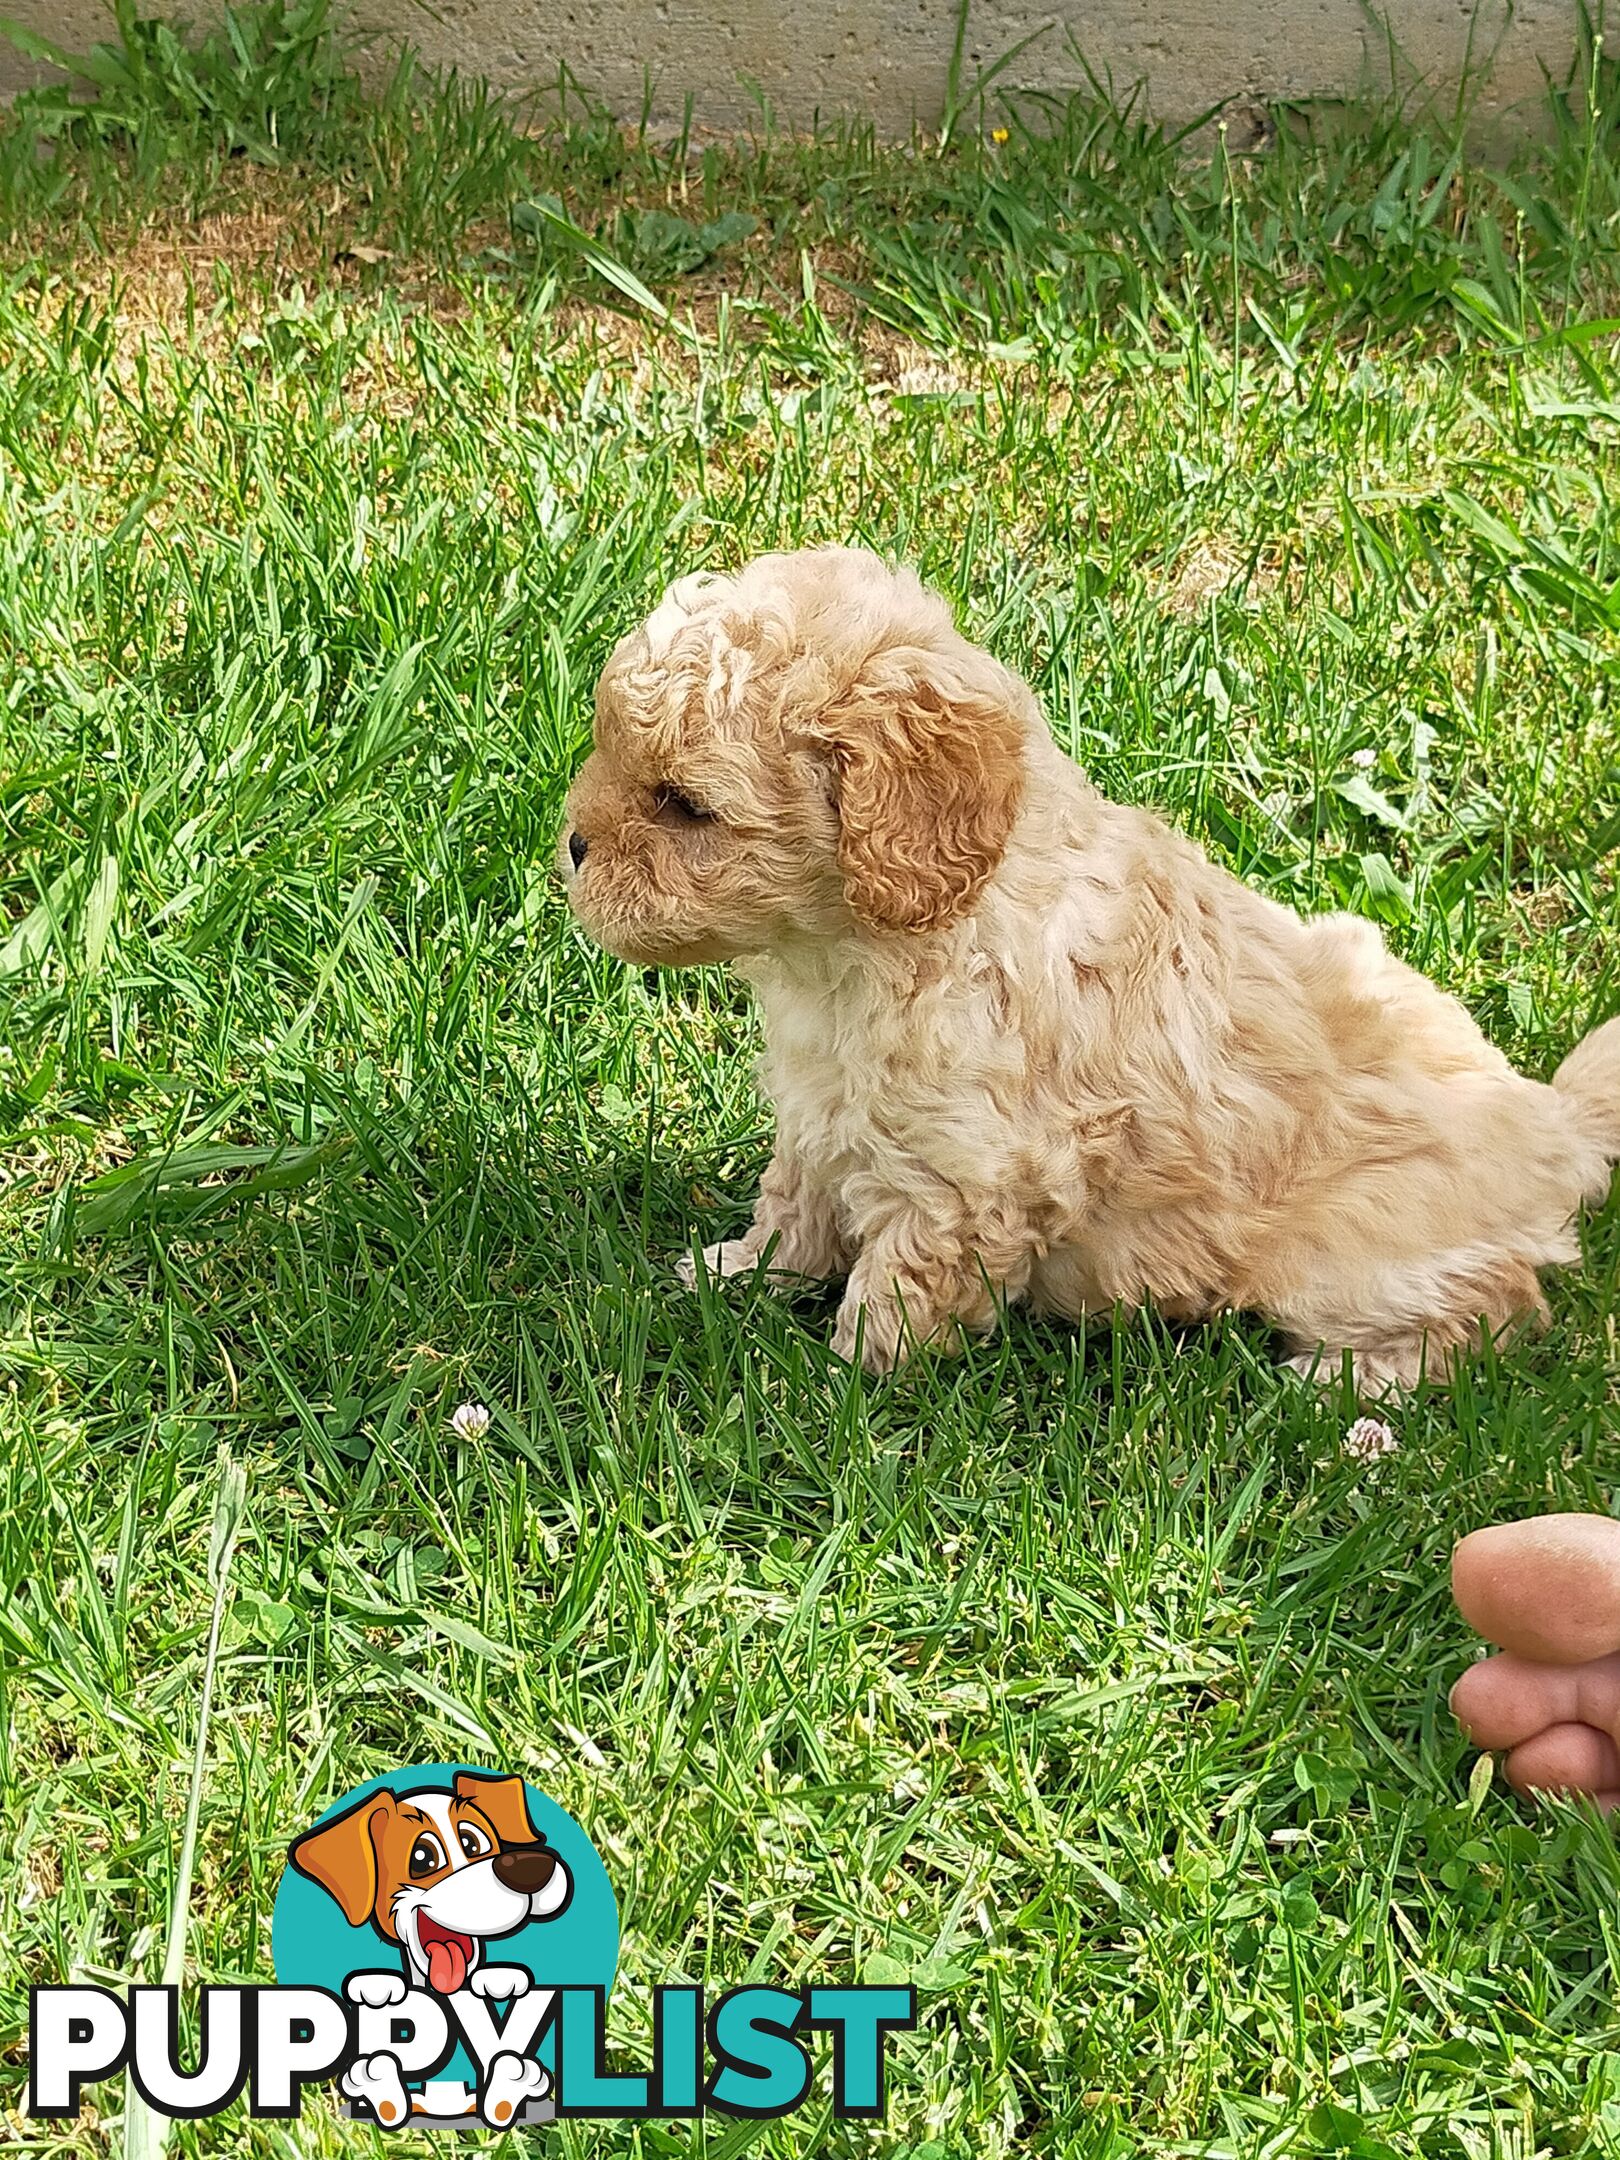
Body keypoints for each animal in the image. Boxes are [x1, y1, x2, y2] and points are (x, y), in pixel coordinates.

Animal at [561, 540, 1620, 1382]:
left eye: (685, 806)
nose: (571, 845)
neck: (859, 952)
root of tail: (1556, 1123)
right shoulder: (825, 1113)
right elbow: (796, 1204)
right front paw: (738, 1274)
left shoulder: (967, 1176)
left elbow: (902, 1285)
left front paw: (845, 1388)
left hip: (1355, 1253)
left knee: (1498, 1304)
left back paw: (1352, 1391)